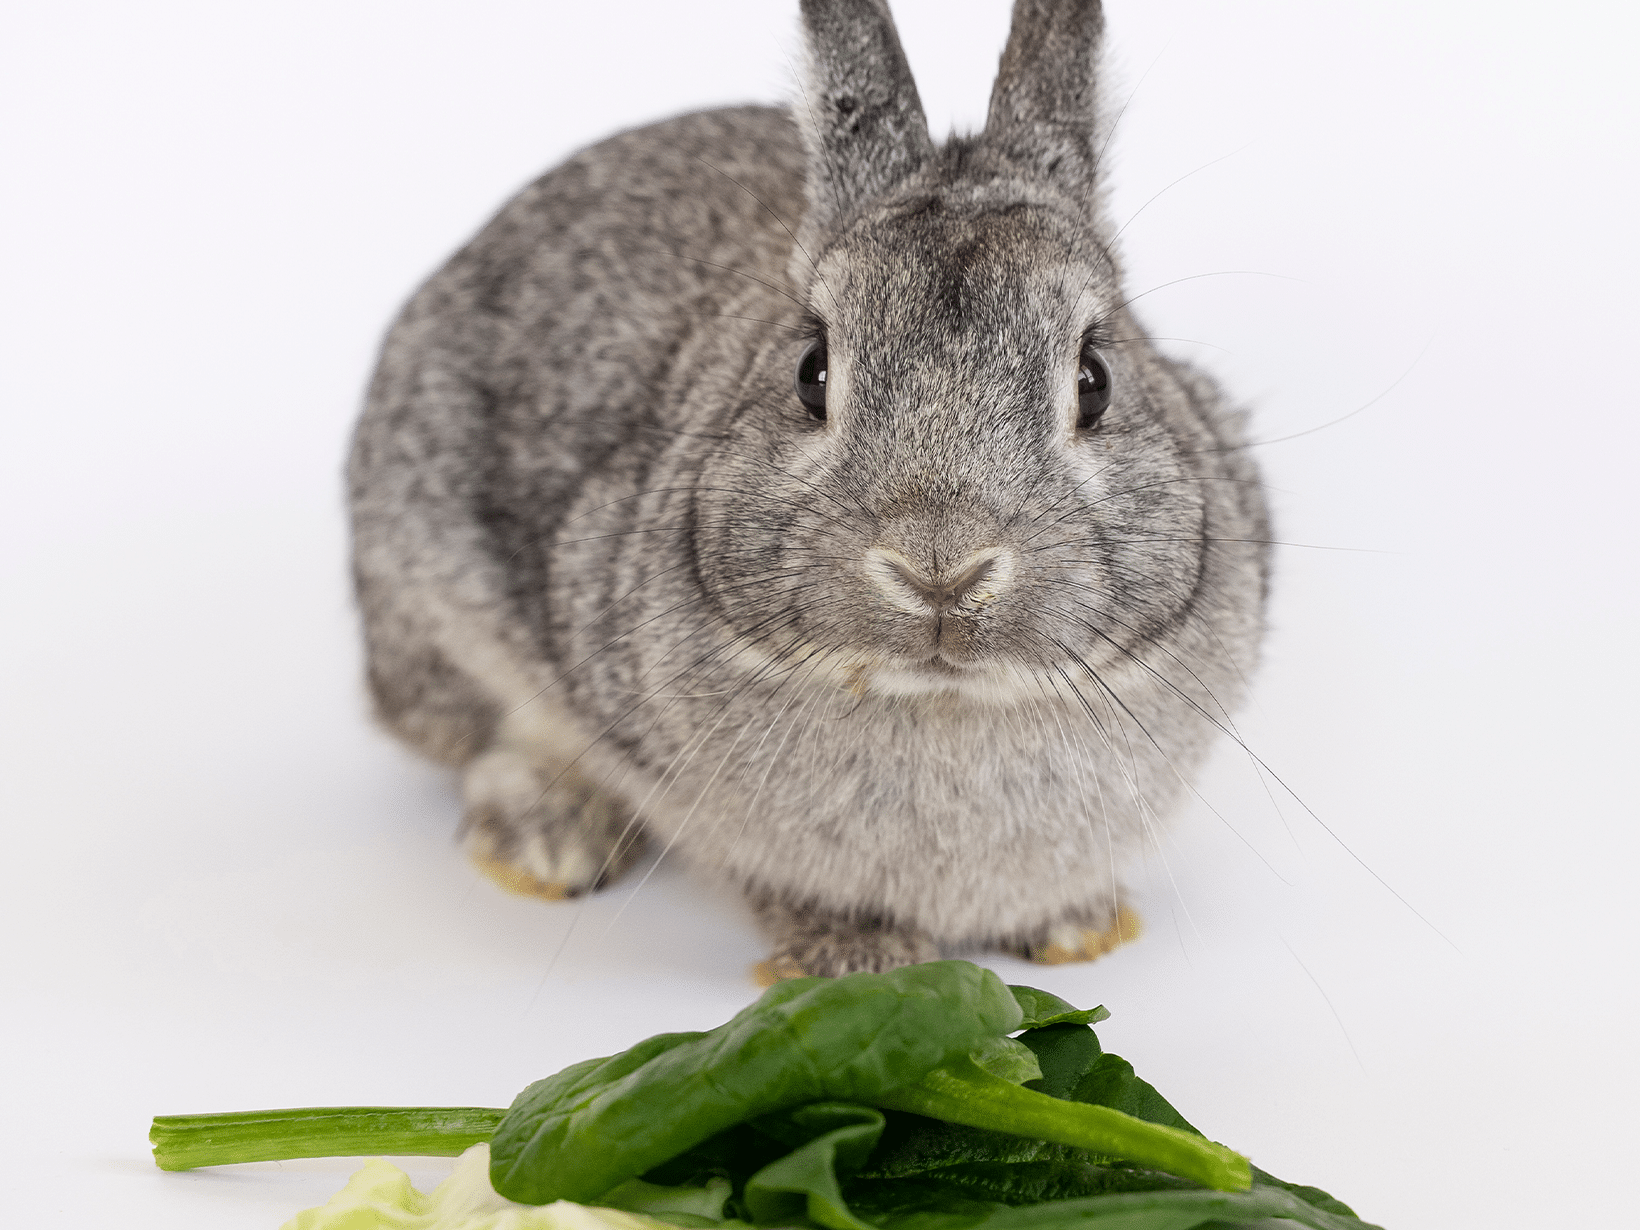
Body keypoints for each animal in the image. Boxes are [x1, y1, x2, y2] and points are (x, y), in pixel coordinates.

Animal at [346, 0, 1266, 984]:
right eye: (810, 372)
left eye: (1095, 380)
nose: (939, 566)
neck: (940, 699)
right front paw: (853, 961)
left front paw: (1078, 927)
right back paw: (547, 843)